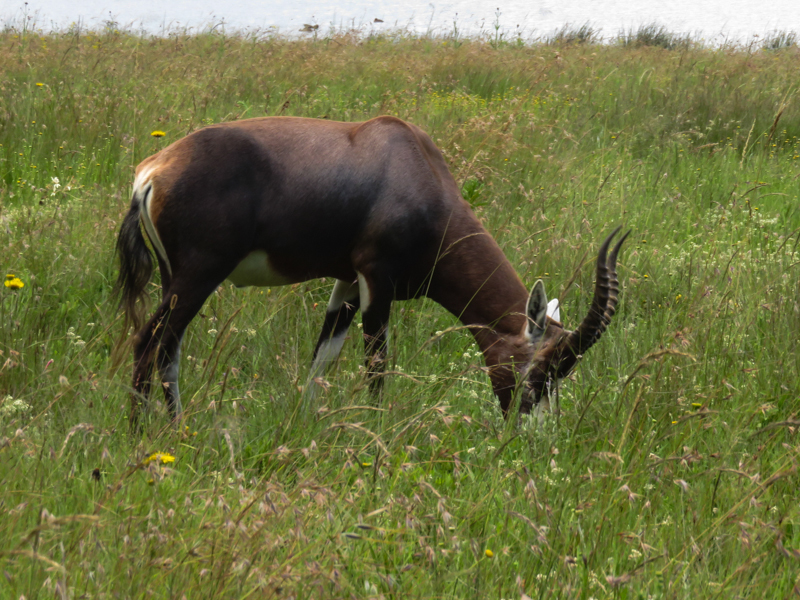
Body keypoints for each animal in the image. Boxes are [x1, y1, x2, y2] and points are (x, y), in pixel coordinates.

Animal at [115, 116, 628, 426]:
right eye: (540, 373)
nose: (536, 440)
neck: (408, 161)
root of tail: (154, 170)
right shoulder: (376, 282)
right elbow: (377, 367)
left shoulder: (345, 283)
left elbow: (321, 362)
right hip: (198, 276)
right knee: (148, 342)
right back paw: (144, 435)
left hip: (178, 278)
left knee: (168, 351)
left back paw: (178, 428)